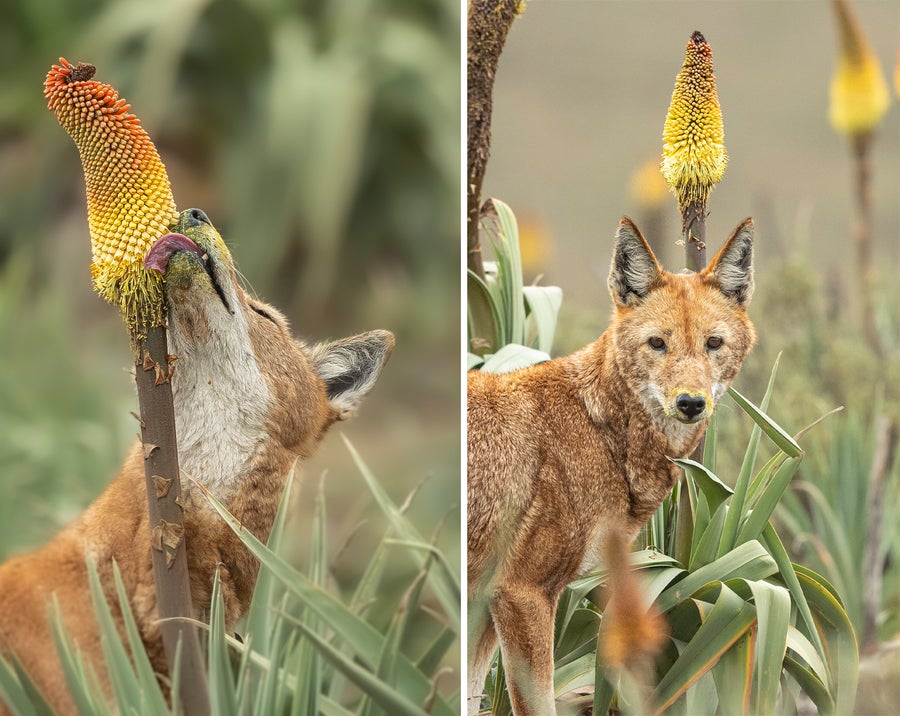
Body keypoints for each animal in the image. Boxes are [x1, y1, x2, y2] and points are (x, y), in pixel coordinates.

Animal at [468, 218, 756, 716]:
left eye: (713, 344)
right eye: (658, 343)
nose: (690, 403)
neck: (596, 426)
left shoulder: (489, 606)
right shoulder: (522, 594)